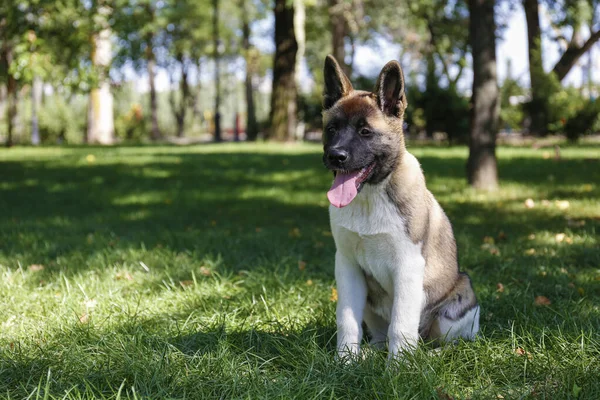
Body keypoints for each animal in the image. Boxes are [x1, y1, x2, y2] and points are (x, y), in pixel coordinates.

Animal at [322, 54, 480, 360]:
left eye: (365, 132)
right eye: (331, 130)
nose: (335, 156)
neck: (371, 194)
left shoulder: (408, 266)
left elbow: (401, 325)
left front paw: (398, 368)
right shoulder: (347, 266)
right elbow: (347, 320)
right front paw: (345, 361)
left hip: (457, 302)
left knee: (446, 342)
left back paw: (428, 356)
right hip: (370, 303)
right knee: (380, 335)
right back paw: (371, 353)